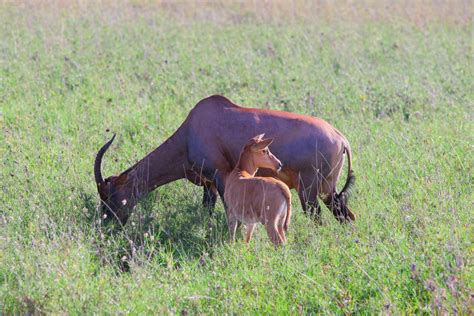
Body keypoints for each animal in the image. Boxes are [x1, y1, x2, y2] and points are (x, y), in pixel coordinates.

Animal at [95, 94, 356, 225]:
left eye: (110, 196)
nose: (107, 225)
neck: (192, 129)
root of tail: (341, 138)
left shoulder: (221, 176)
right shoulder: (208, 183)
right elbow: (207, 210)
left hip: (309, 191)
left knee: (319, 218)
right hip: (327, 190)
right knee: (345, 215)